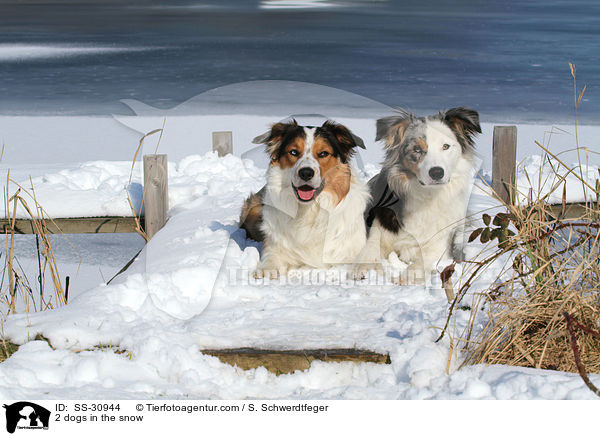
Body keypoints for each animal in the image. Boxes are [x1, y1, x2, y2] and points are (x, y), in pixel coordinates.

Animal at [239, 119, 370, 276]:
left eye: (323, 153)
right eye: (293, 152)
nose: (306, 173)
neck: (310, 210)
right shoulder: (275, 247)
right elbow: (271, 259)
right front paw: (265, 272)